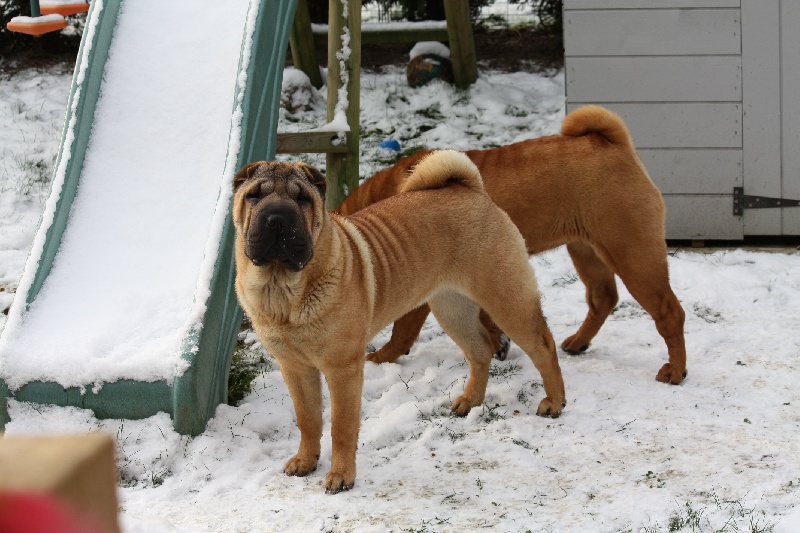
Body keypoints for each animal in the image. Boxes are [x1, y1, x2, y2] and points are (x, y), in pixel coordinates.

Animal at [232, 151, 566, 494]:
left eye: (303, 199)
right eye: (254, 195)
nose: (277, 218)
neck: (282, 290)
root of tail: (472, 190)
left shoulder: (342, 369)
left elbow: (341, 426)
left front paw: (341, 476)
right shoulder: (294, 367)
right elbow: (308, 419)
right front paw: (305, 461)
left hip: (507, 299)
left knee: (543, 345)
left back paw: (554, 402)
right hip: (452, 308)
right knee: (481, 349)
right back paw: (470, 401)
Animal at [336, 105, 687, 385]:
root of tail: (613, 144)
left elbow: (402, 331)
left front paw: (378, 359)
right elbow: (485, 318)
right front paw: (498, 343)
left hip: (632, 252)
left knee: (669, 312)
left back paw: (675, 371)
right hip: (586, 251)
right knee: (603, 298)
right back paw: (577, 342)